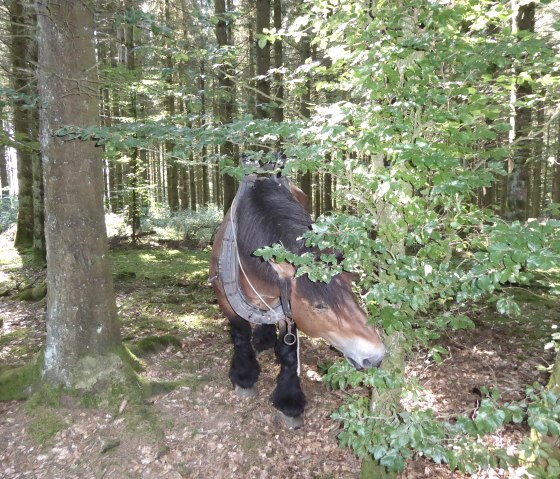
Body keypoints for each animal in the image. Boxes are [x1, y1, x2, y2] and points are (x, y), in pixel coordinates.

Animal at [208, 171, 388, 430]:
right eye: (319, 306)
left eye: (352, 294)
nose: (377, 356)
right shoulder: (224, 299)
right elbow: (240, 336)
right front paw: (244, 376)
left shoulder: (286, 308)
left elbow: (288, 351)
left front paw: (288, 401)